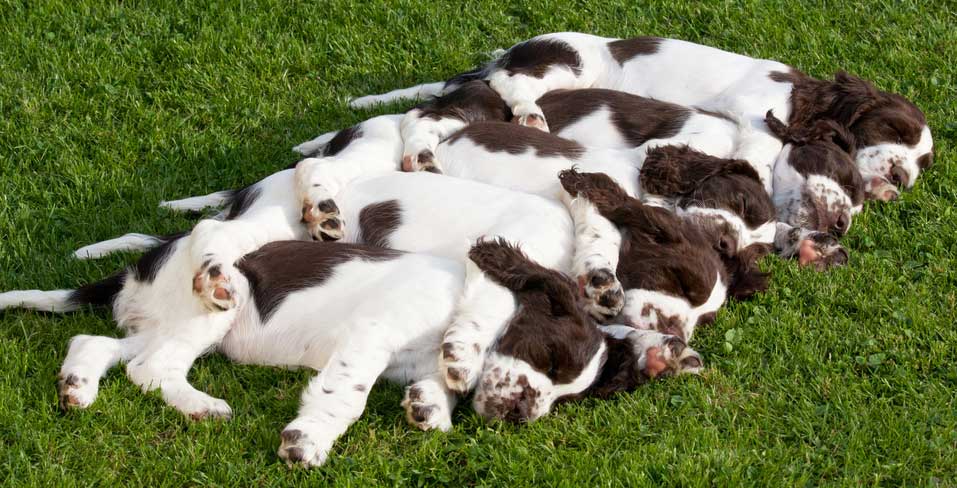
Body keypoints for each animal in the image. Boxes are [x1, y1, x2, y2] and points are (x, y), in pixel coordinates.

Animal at [348, 33, 928, 200]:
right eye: (891, 129)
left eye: (922, 164)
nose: (903, 176)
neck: (802, 95)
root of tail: (507, 52)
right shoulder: (755, 110)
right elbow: (757, 149)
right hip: (570, 63)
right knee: (496, 93)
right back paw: (526, 117)